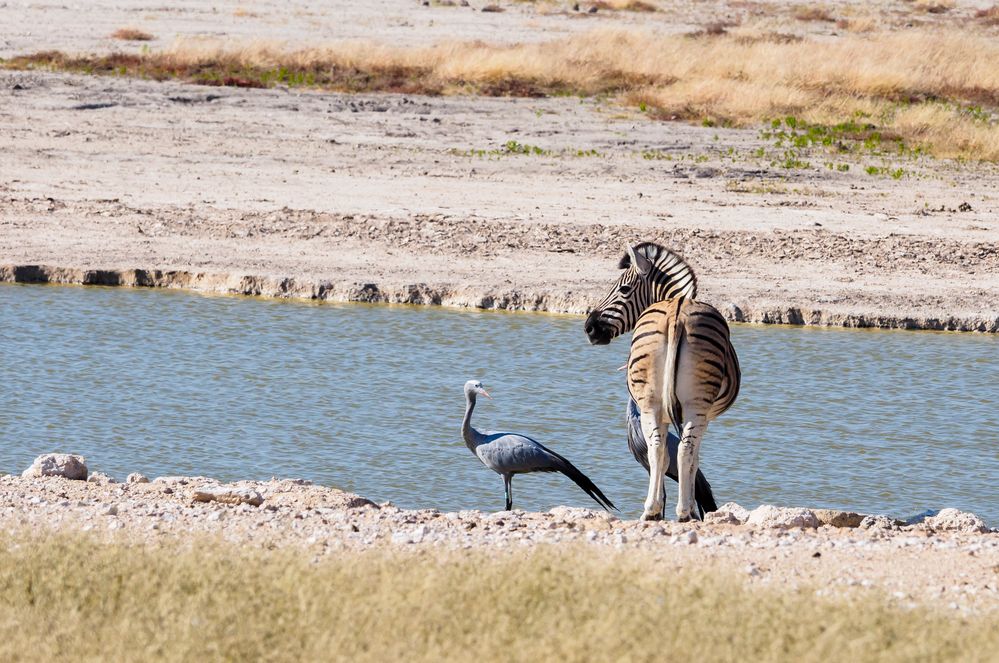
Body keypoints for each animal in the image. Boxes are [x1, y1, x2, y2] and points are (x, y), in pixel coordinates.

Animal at [584, 241, 740, 520]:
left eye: (623, 289)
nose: (589, 328)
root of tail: (677, 313)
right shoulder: (698, 415)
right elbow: (692, 459)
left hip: (653, 404)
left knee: (659, 450)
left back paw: (654, 510)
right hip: (694, 406)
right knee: (683, 451)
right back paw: (683, 512)